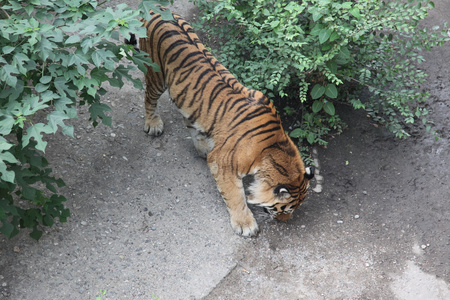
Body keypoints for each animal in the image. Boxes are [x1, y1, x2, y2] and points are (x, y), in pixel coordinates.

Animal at [128, 7, 314, 237]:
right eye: (285, 209)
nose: (284, 222)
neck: (273, 147)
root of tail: (156, 8)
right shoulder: (223, 162)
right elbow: (236, 196)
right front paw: (246, 225)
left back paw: (201, 147)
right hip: (156, 74)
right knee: (148, 98)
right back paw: (153, 124)